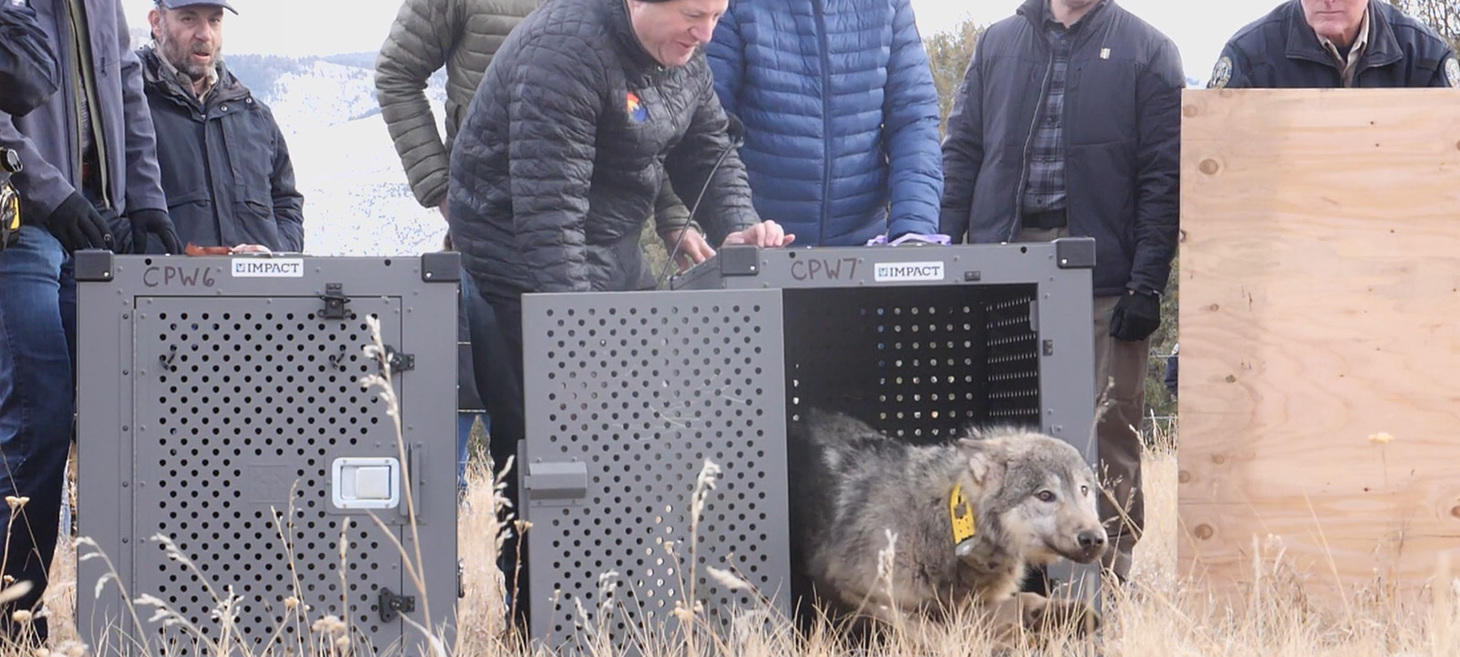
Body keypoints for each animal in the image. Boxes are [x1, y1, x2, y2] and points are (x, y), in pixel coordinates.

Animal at [787, 409, 1107, 633]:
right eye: (1045, 495)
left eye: (1084, 490)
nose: (1094, 538)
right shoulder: (856, 590)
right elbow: (924, 630)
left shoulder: (970, 606)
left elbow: (1026, 600)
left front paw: (1071, 616)